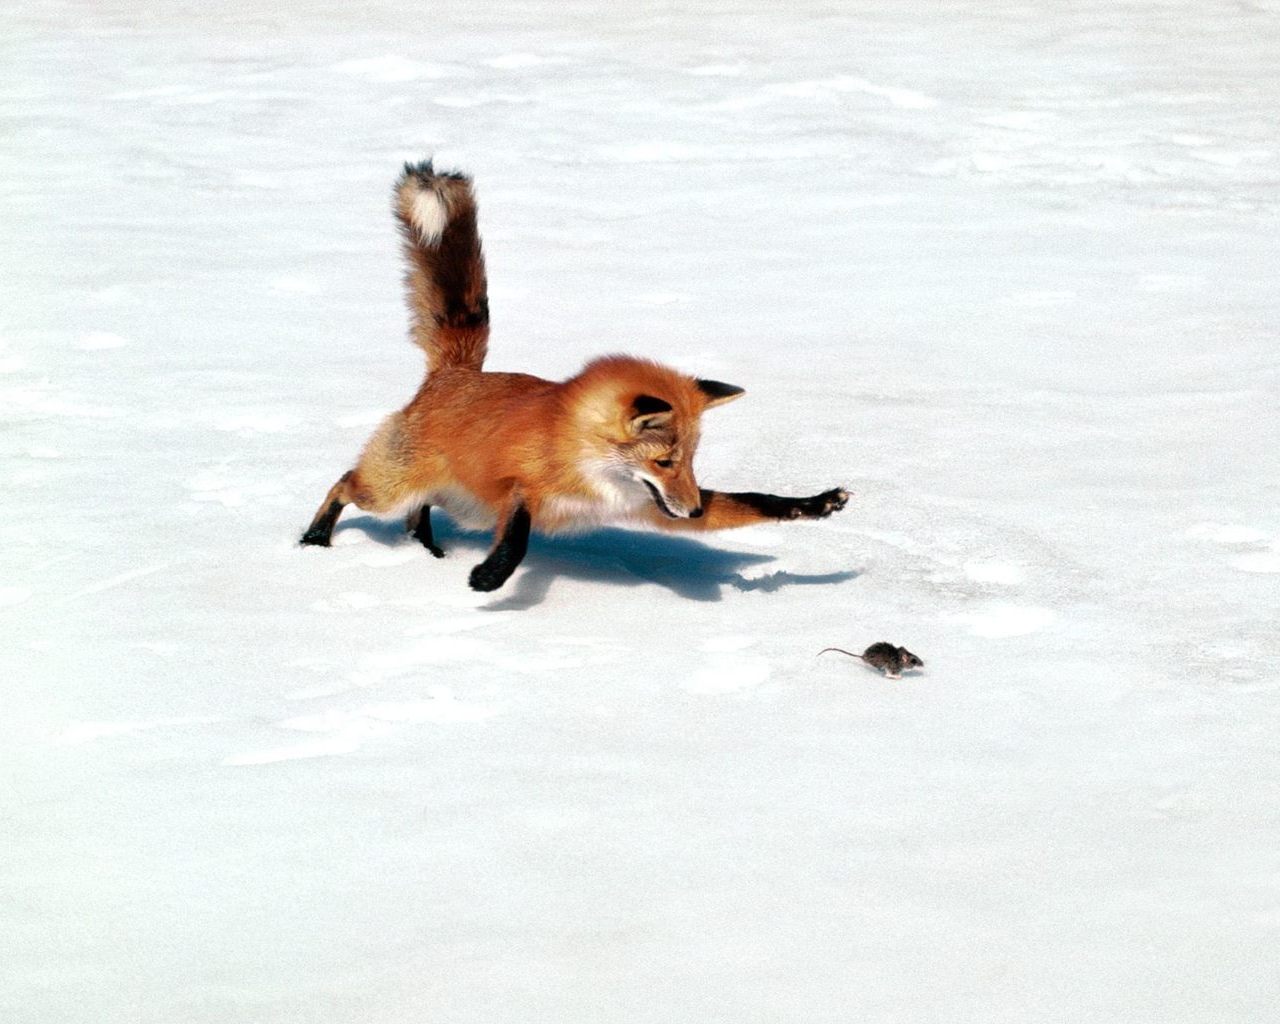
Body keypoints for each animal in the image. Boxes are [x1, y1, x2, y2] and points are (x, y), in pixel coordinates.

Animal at [302, 160, 849, 591]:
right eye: (665, 461)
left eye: (692, 461)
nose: (694, 510)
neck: (588, 466)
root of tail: (454, 373)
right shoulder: (518, 487)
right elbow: (519, 535)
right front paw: (492, 576)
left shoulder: (649, 506)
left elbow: (758, 501)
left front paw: (816, 504)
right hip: (390, 489)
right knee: (345, 484)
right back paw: (314, 539)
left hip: (452, 501)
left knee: (416, 514)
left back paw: (427, 551)